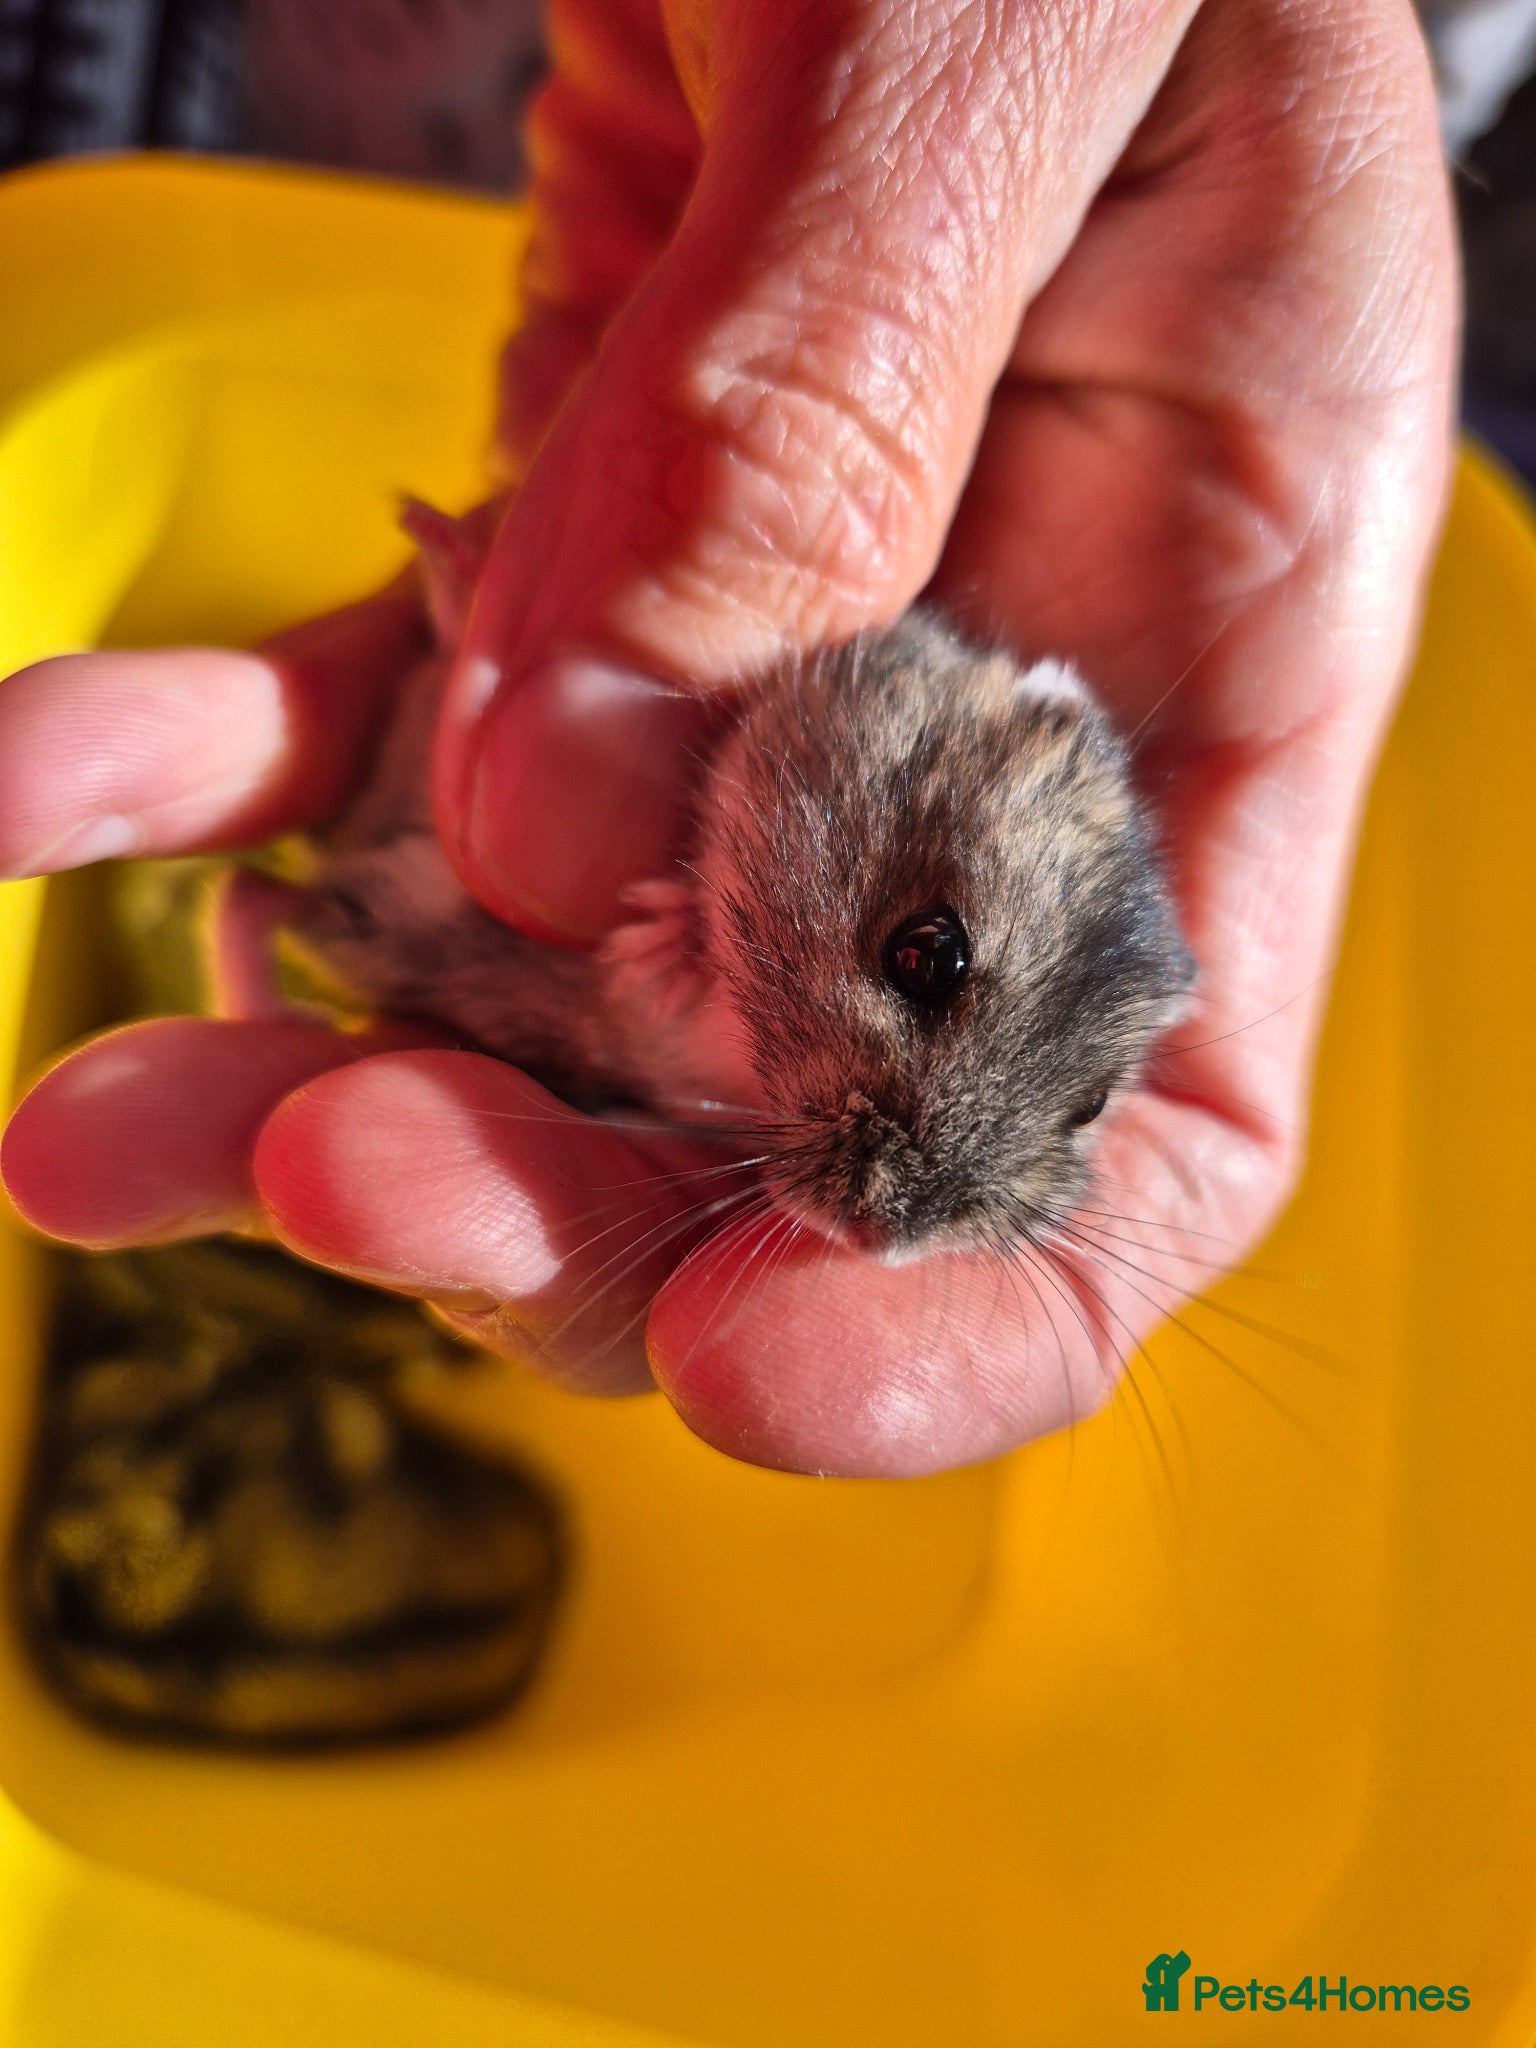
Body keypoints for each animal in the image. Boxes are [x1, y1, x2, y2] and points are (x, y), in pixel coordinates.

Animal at [271, 508, 1194, 1263]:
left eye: (1093, 1106)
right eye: (928, 954)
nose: (874, 1243)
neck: (730, 1057)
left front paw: (652, 960)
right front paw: (656, 947)